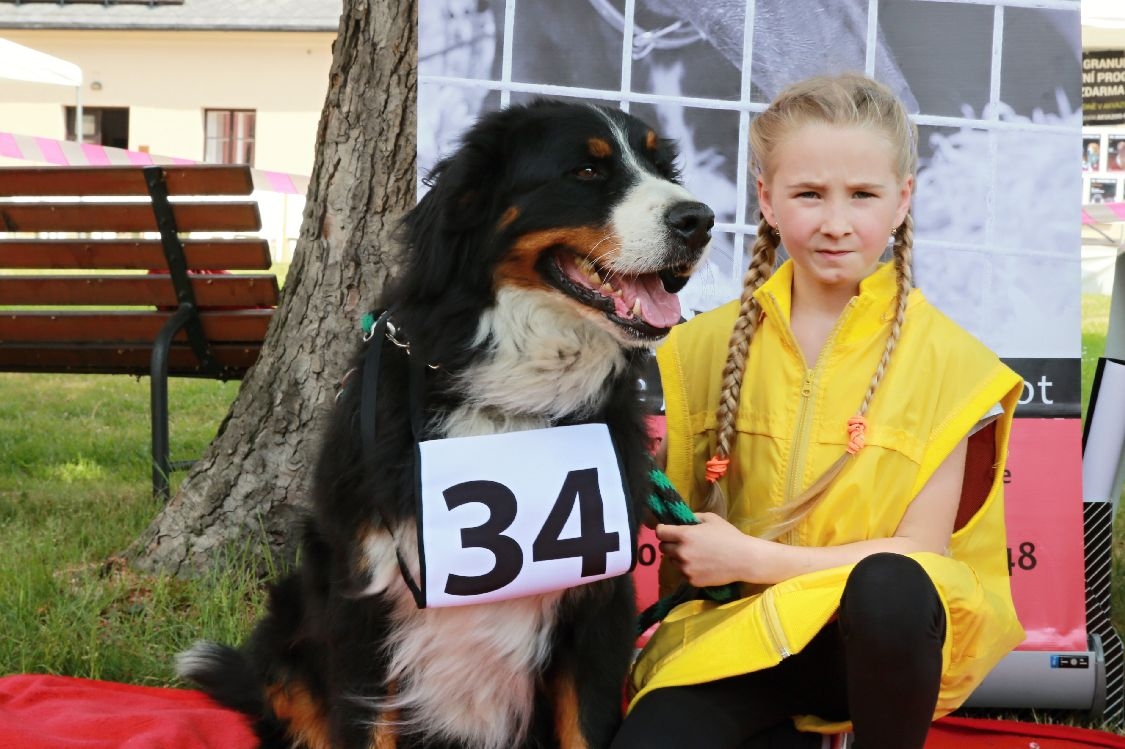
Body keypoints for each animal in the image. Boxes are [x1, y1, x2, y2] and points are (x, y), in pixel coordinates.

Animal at [175, 100, 711, 746]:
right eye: (586, 170)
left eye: (663, 168)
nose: (700, 219)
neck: (515, 400)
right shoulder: (364, 603)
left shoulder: (599, 604)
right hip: (289, 630)